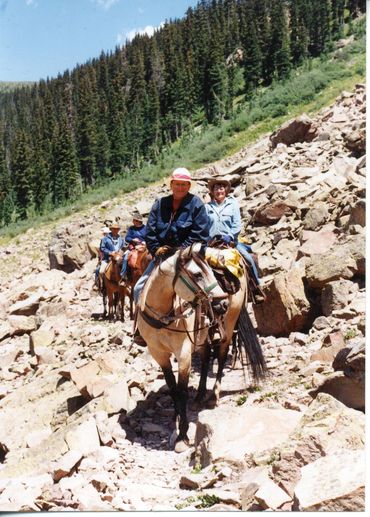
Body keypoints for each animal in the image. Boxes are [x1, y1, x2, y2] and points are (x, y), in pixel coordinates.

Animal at [136, 244, 266, 450]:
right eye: (197, 275)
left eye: (210, 272)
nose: (222, 303)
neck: (164, 316)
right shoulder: (159, 353)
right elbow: (172, 387)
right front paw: (176, 418)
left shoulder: (183, 353)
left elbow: (181, 391)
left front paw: (182, 435)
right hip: (203, 336)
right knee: (205, 358)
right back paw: (199, 395)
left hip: (229, 324)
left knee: (221, 356)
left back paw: (213, 396)